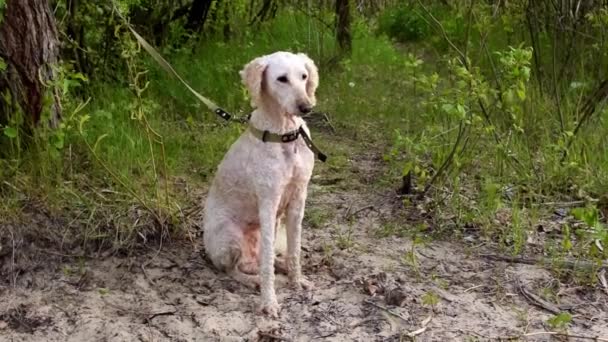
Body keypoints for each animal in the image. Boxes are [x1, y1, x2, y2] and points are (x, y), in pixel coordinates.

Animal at [203, 52, 318, 316]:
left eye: (303, 76)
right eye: (281, 79)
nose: (306, 107)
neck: (285, 133)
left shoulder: (298, 199)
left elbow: (295, 250)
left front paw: (297, 281)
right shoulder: (268, 201)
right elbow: (267, 268)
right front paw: (269, 302)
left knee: (265, 258)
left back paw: (278, 266)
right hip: (230, 238)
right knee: (233, 270)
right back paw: (253, 280)